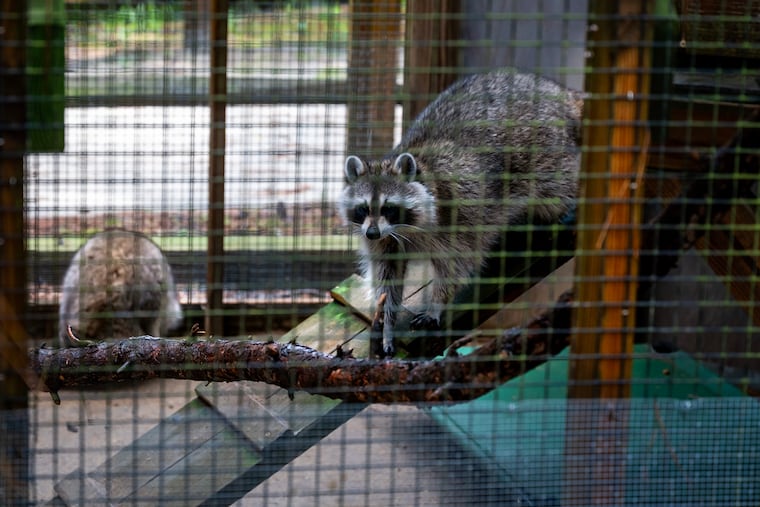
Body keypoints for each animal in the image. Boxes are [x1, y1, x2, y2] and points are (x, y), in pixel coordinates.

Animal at [339, 70, 583, 357]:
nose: (372, 232)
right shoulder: (384, 242)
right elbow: (387, 279)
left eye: (389, 208)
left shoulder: (459, 212)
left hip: (547, 156)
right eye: (364, 208)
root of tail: (558, 92)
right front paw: (387, 322)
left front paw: (438, 302)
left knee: (559, 188)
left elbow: (456, 263)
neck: (405, 229)